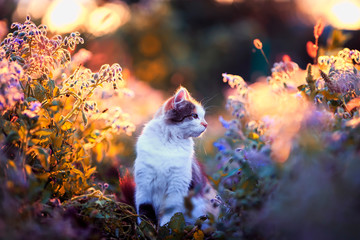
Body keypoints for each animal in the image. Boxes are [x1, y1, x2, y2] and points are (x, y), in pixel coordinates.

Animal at [134, 86, 218, 227]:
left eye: (203, 117)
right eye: (194, 116)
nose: (206, 125)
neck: (169, 142)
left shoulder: (177, 188)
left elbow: (169, 218)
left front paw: (165, 229)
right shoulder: (144, 186)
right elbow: (145, 214)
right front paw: (146, 230)